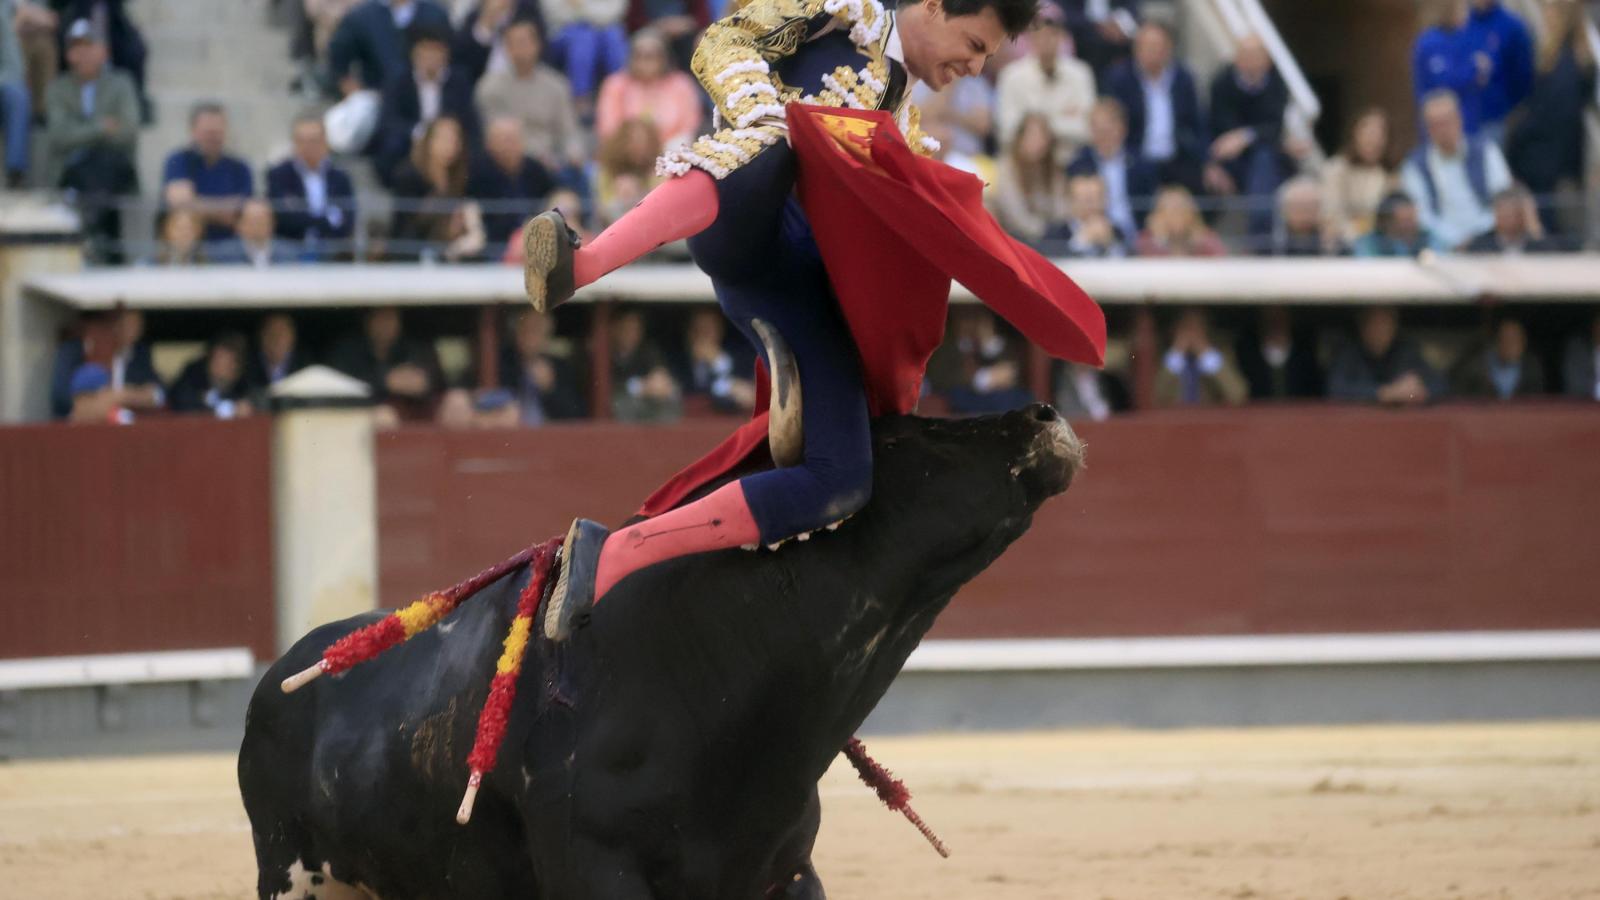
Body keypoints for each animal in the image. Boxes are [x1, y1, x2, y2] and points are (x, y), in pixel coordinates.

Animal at [240, 403, 1088, 890]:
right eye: (912, 437)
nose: (1046, 412)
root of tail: (284, 673)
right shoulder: (597, 870)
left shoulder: (785, 873)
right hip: (286, 869)